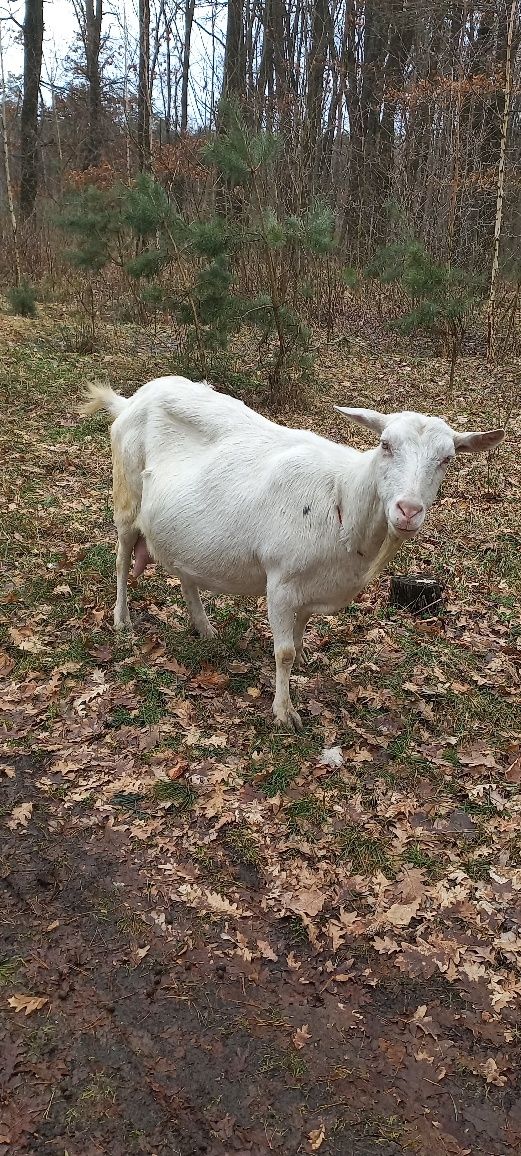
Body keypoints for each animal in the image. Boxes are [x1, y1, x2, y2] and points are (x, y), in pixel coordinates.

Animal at [82, 374, 505, 725]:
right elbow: (282, 651)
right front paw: (285, 713)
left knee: (186, 573)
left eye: (447, 459)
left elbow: (299, 637)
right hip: (126, 497)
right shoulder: (282, 582)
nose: (409, 510)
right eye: (385, 445)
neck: (343, 499)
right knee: (121, 560)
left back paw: (204, 627)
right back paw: (122, 620)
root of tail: (130, 401)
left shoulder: (308, 585)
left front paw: (302, 660)